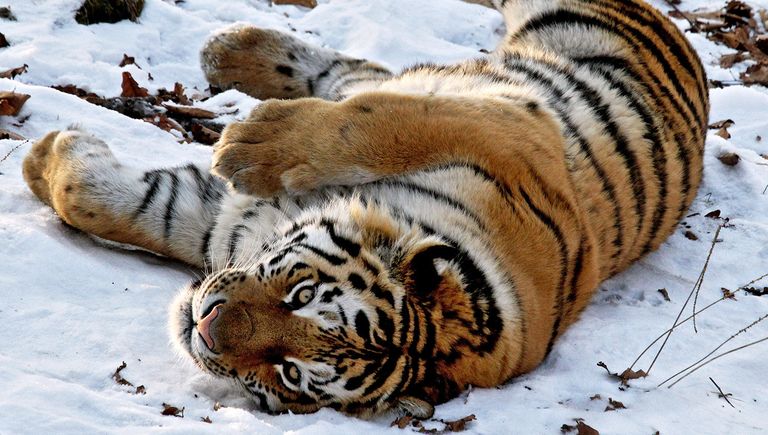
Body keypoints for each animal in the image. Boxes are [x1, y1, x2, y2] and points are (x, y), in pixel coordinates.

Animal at [22, 0, 707, 419]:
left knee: (353, 70)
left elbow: (133, 202)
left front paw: (45, 157)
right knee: (363, 79)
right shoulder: (513, 126)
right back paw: (233, 52)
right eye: (302, 293)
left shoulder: (222, 226)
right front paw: (250, 142)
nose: (207, 326)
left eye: (290, 373)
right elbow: (376, 121)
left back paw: (228, 50)